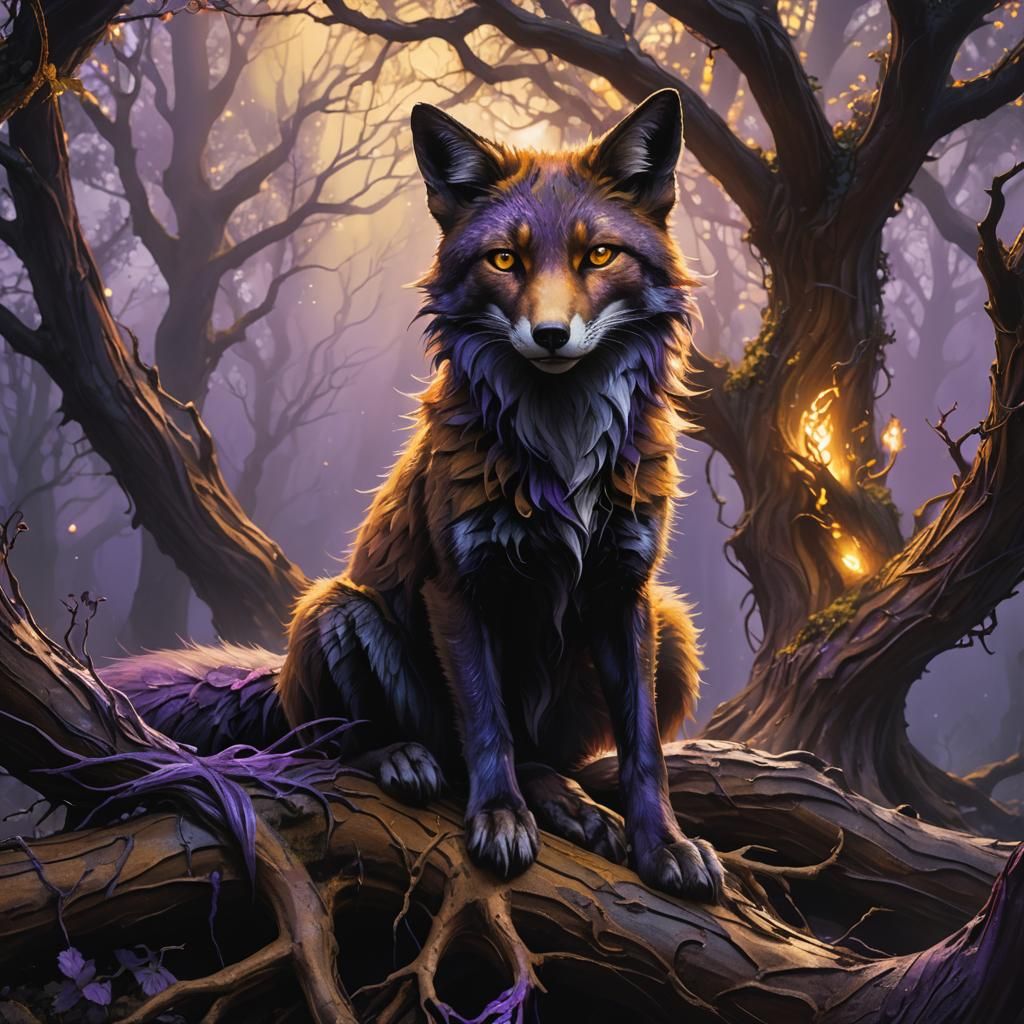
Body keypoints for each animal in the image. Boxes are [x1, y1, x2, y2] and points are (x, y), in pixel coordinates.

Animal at [108, 90, 723, 902]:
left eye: (598, 255)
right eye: (504, 259)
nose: (550, 334)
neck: (560, 447)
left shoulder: (627, 590)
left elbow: (643, 746)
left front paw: (666, 847)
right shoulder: (458, 587)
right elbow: (487, 727)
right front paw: (500, 820)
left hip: (675, 628)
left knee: (543, 756)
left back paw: (571, 801)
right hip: (336, 609)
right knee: (347, 744)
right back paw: (408, 760)